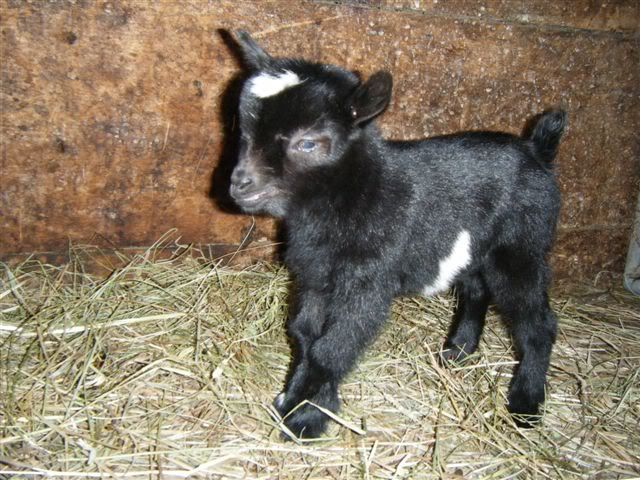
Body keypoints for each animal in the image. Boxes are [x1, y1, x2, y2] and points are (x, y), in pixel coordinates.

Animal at [227, 31, 567, 439]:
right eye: (244, 130)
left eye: (307, 142)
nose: (240, 184)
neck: (359, 193)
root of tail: (536, 149)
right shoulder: (315, 274)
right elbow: (306, 334)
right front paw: (300, 400)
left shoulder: (368, 280)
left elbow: (333, 346)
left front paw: (306, 419)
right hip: (476, 247)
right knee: (475, 291)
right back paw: (457, 351)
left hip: (521, 246)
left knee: (537, 324)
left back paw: (525, 405)